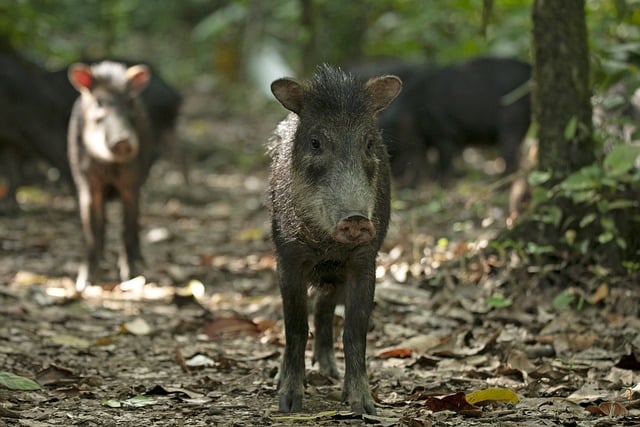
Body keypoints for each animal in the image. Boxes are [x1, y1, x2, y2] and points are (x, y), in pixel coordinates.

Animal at [67, 60, 153, 292]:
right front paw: (84, 282)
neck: (109, 167)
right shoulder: (87, 184)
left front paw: (131, 275)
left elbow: (128, 227)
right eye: (99, 102)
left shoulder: (132, 183)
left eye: (129, 101)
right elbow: (92, 230)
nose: (123, 141)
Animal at [268, 63, 402, 414]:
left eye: (369, 144)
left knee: (324, 307)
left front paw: (364, 406)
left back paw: (329, 370)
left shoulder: (365, 261)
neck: (328, 245)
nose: (355, 219)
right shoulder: (288, 257)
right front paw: (289, 403)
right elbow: (295, 328)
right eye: (315, 143)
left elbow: (355, 333)